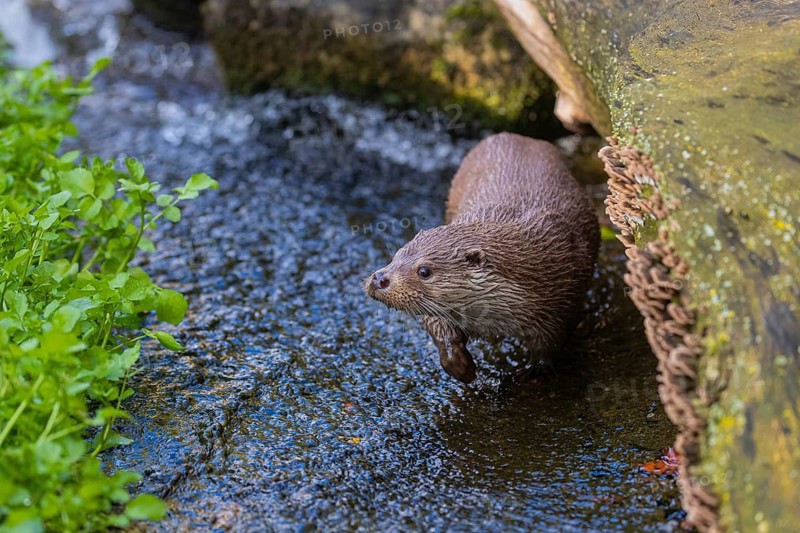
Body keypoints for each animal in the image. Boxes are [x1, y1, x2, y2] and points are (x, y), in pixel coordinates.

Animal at [365, 132, 599, 383]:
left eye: (424, 271)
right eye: (396, 255)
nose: (379, 278)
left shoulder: (562, 306)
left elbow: (550, 345)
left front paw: (532, 372)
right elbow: (437, 325)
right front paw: (460, 366)